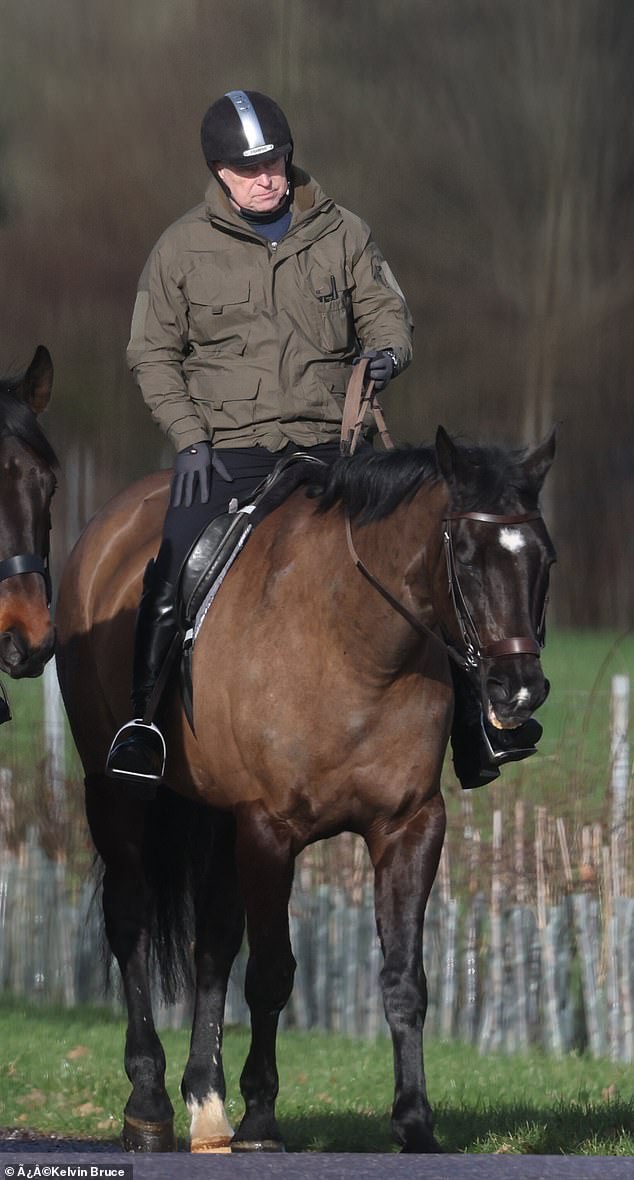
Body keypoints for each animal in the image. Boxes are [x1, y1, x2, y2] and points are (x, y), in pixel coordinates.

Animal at [55, 426, 555, 1154]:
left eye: (544, 556)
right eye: (463, 556)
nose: (518, 692)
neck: (356, 646)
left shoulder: (408, 826)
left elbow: (403, 979)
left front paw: (415, 1121)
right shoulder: (270, 828)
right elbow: (271, 974)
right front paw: (263, 1119)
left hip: (217, 816)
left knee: (212, 943)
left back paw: (207, 1104)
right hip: (115, 797)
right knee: (132, 924)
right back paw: (149, 1104)